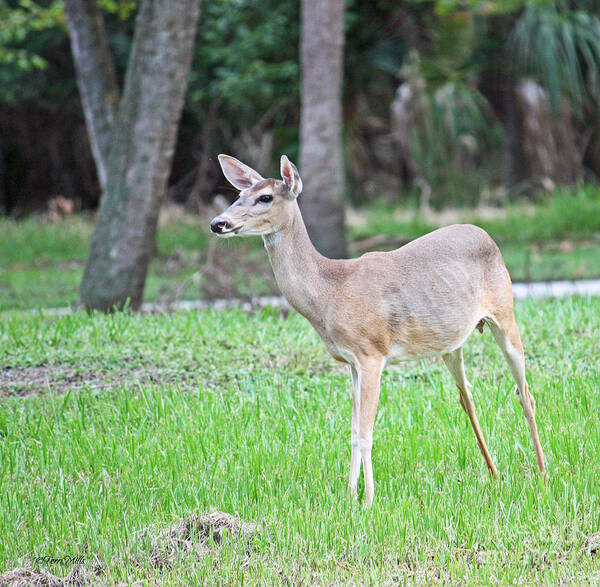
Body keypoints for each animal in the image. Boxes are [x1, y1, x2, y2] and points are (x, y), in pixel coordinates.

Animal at [211, 155, 548, 506]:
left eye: (265, 197)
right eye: (239, 194)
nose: (218, 223)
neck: (329, 292)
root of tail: (487, 235)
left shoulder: (372, 352)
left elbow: (366, 432)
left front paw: (369, 500)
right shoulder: (350, 361)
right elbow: (352, 431)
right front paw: (349, 495)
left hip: (505, 312)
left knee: (525, 394)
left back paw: (542, 474)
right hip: (450, 341)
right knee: (466, 395)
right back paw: (494, 473)